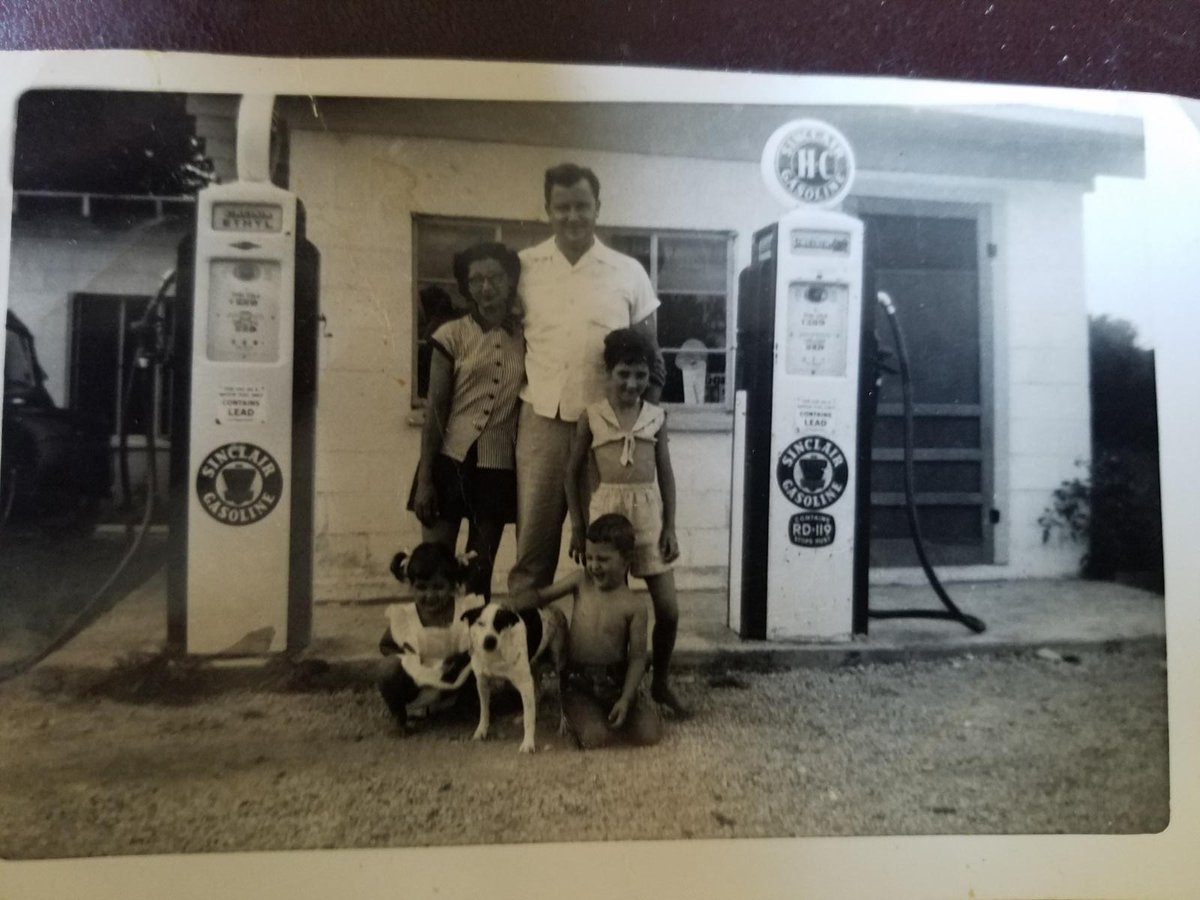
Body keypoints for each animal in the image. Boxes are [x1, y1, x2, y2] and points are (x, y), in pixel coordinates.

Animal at [460, 607, 568, 753]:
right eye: (480, 623)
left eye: (499, 624)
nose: (489, 640)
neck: (495, 655)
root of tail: (556, 609)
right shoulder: (482, 683)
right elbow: (484, 711)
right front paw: (481, 731)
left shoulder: (524, 683)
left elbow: (528, 719)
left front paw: (528, 743)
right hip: (533, 666)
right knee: (537, 693)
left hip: (557, 664)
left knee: (560, 697)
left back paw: (562, 724)